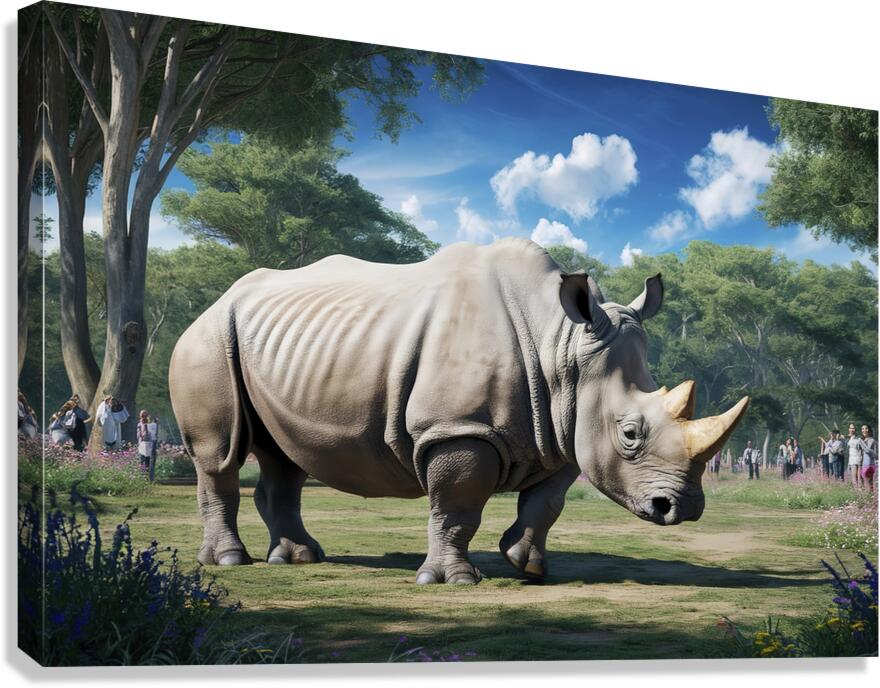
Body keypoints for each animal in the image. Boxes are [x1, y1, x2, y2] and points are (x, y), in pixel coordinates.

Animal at [169, 238, 748, 584]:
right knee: (220, 457)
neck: (560, 346)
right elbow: (457, 503)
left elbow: (547, 503)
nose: (680, 508)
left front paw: (526, 564)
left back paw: (301, 557)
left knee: (284, 457)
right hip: (206, 339)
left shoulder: (564, 429)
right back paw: (231, 561)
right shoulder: (458, 429)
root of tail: (212, 301)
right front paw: (451, 580)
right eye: (630, 433)